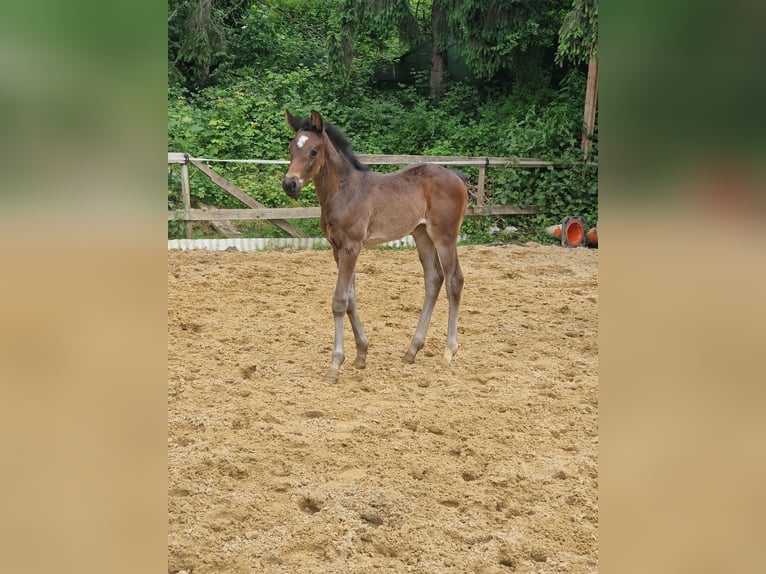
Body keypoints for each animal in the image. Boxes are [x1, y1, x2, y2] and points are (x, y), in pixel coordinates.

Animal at [282, 109, 467, 384]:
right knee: (434, 278)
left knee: (454, 280)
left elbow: (339, 300)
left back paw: (448, 351)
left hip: (445, 235)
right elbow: (351, 297)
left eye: (314, 151)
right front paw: (361, 353)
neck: (344, 192)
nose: (290, 184)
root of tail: (458, 178)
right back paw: (412, 350)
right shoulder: (337, 248)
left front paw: (335, 365)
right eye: (291, 148)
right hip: (421, 234)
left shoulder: (351, 247)